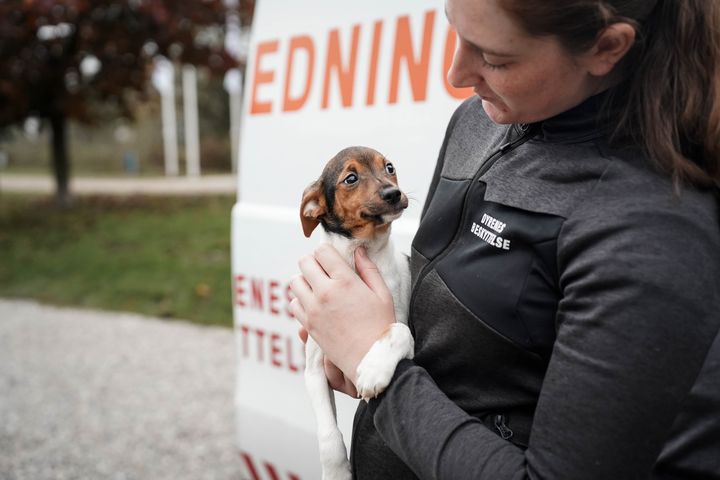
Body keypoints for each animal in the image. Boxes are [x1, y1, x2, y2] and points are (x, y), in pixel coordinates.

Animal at [298, 146, 414, 480]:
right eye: (350, 178)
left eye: (389, 167)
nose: (393, 193)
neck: (359, 252)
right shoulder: (314, 368)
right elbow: (329, 436)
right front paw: (336, 471)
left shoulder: (404, 330)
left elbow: (399, 329)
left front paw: (375, 368)